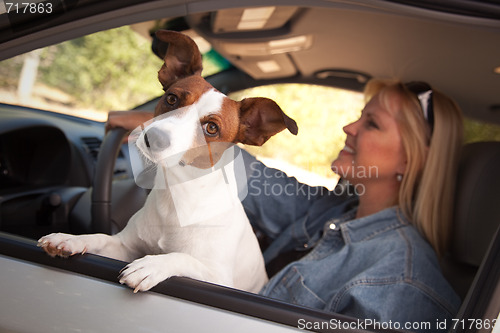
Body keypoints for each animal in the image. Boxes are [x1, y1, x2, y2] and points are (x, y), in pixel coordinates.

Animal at [39, 29, 298, 292]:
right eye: (172, 99)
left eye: (212, 128)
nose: (154, 138)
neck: (177, 195)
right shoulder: (123, 246)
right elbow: (100, 238)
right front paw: (70, 239)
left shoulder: (219, 279)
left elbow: (181, 257)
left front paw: (151, 265)